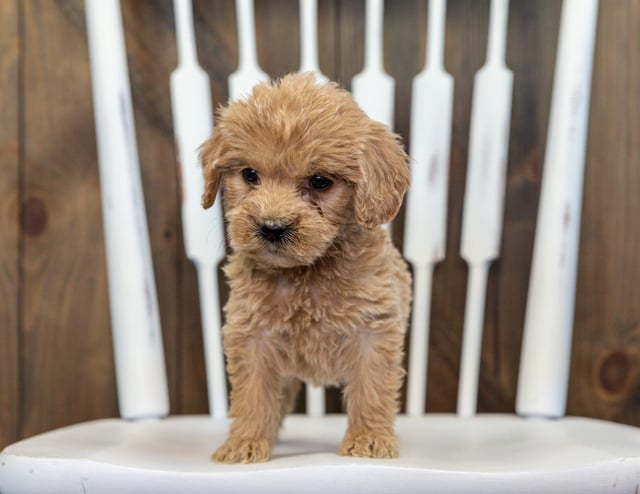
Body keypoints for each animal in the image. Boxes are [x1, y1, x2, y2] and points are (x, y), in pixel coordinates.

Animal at [200, 73, 410, 464]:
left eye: (320, 181)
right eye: (250, 175)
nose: (272, 227)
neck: (306, 273)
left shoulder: (373, 331)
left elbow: (372, 388)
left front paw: (369, 440)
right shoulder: (252, 335)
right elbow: (252, 394)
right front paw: (245, 443)